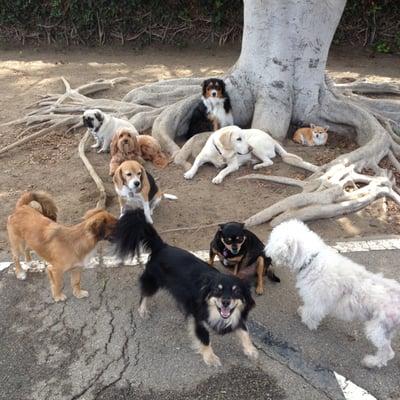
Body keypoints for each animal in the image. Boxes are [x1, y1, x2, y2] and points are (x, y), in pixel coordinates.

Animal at [113, 209, 256, 366]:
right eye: (217, 290)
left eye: (236, 291)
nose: (225, 302)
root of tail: (162, 246)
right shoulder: (198, 320)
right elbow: (205, 340)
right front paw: (210, 357)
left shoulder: (237, 317)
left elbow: (245, 332)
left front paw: (251, 350)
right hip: (153, 281)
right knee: (144, 294)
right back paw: (143, 310)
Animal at [266, 219, 400, 368]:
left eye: (272, 239)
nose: (266, 253)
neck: (311, 260)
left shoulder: (316, 301)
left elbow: (311, 312)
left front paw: (307, 321)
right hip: (387, 328)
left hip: (377, 328)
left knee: (387, 352)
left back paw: (372, 362)